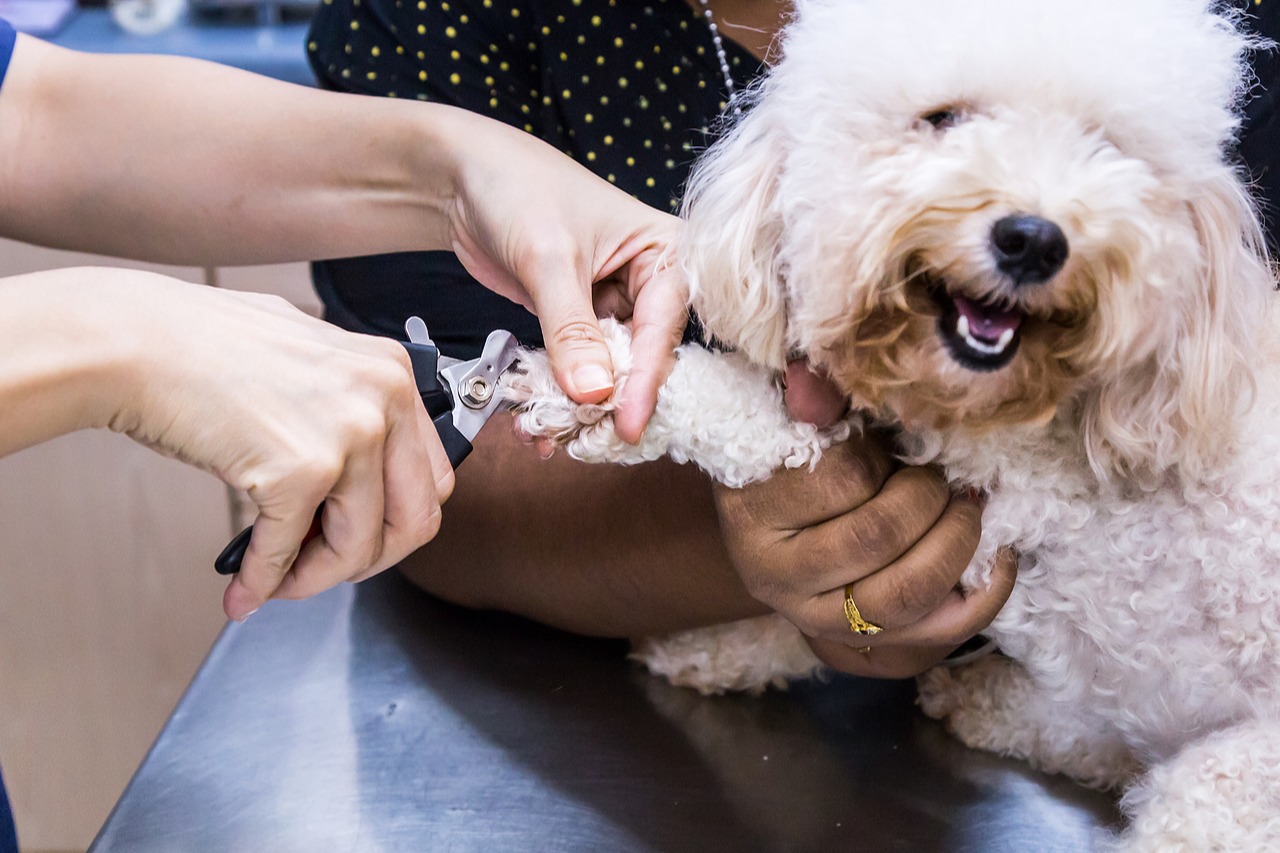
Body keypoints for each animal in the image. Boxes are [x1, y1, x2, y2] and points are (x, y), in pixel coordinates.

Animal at [499, 3, 1280, 845]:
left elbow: (772, 428)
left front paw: (607, 388)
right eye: (943, 120)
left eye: (1103, 147)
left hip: (1231, 781)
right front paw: (720, 641)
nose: (1034, 239)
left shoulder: (1007, 506)